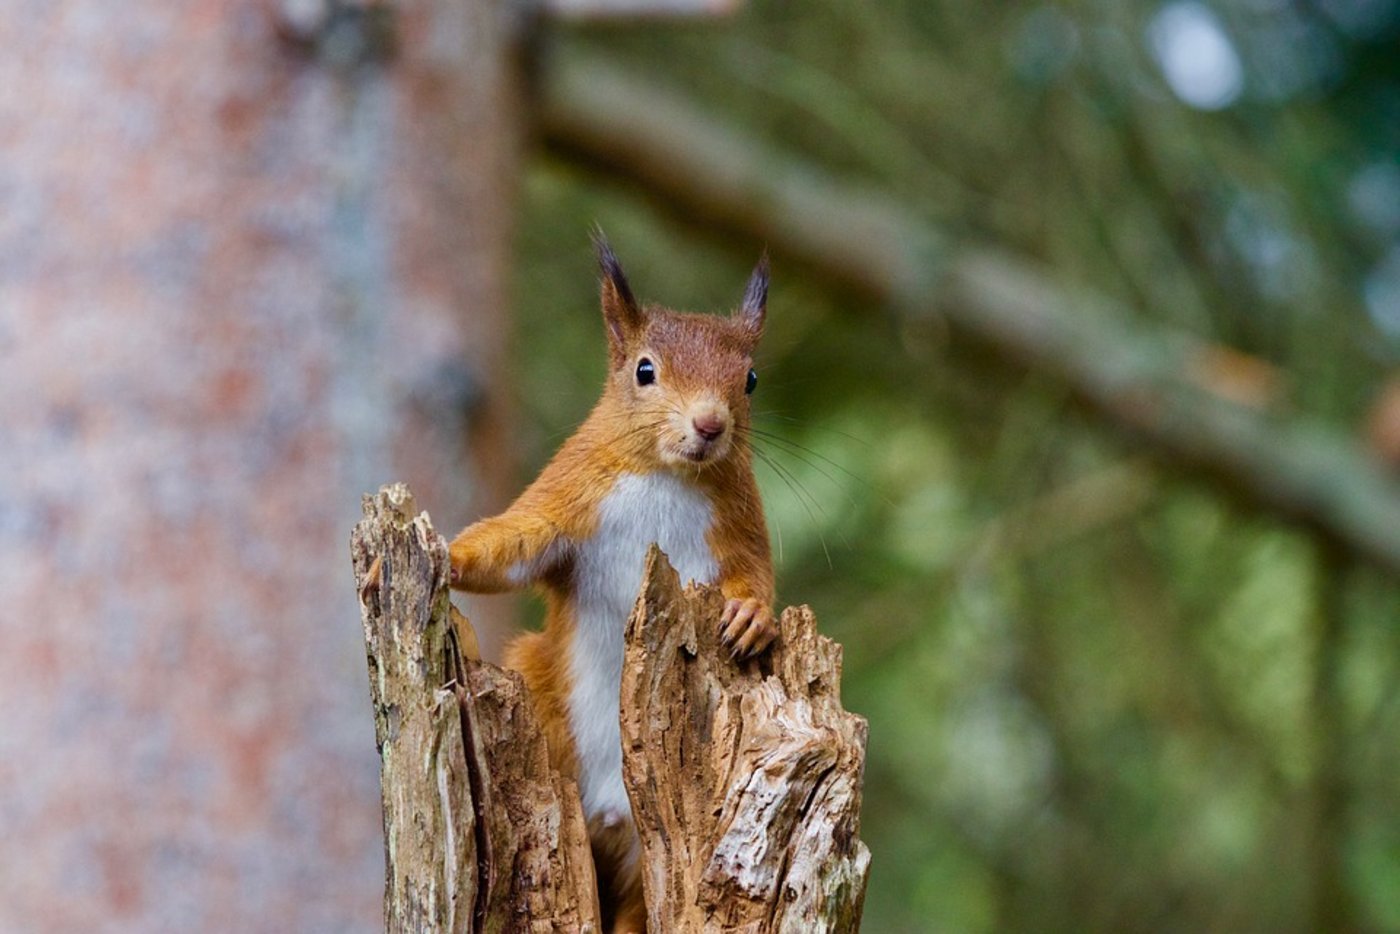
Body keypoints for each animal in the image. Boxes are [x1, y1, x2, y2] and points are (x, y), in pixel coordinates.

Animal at [447, 234, 777, 933]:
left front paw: (752, 617)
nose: (710, 424)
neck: (665, 474)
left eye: (751, 379)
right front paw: (448, 554)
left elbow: (756, 575)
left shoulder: (740, 528)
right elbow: (514, 544)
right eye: (644, 371)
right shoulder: (568, 498)